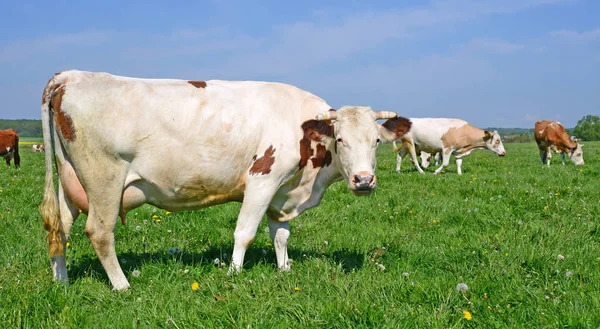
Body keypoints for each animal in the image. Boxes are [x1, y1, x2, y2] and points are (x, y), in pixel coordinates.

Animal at [38, 70, 412, 290]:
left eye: (376, 141)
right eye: (341, 140)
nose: (363, 180)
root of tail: (74, 76)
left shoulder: (282, 192)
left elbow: (280, 235)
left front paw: (285, 269)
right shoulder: (263, 178)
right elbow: (245, 232)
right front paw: (233, 273)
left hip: (71, 182)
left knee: (60, 230)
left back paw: (61, 282)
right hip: (105, 180)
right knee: (99, 233)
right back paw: (121, 285)